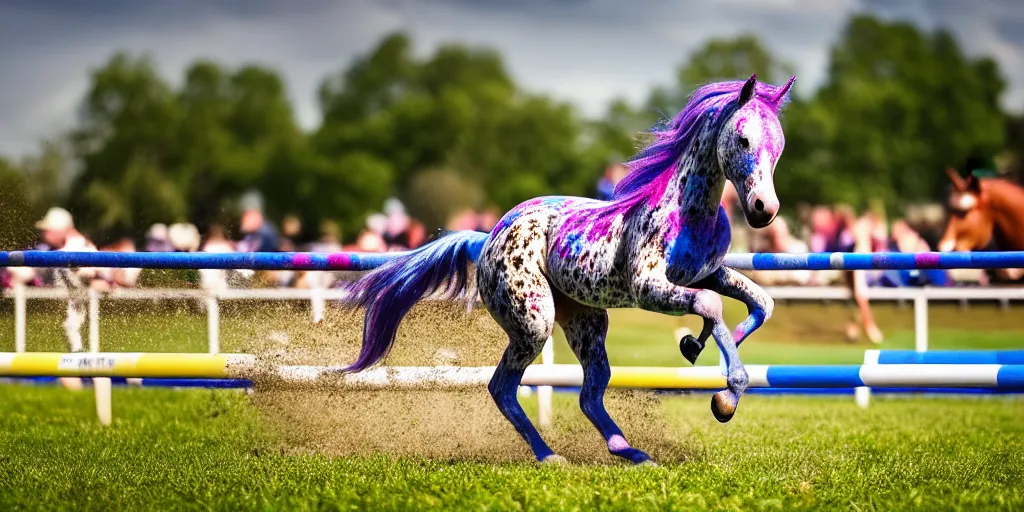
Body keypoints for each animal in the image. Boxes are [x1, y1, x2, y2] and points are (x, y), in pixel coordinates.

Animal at [344, 74, 790, 464]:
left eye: (779, 146)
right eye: (743, 138)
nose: (764, 210)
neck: (689, 211)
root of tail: (487, 238)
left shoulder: (705, 274)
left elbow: (760, 304)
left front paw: (695, 347)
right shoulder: (648, 287)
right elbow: (713, 305)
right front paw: (725, 397)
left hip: (586, 321)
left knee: (588, 396)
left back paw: (632, 453)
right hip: (534, 321)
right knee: (502, 388)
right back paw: (550, 456)